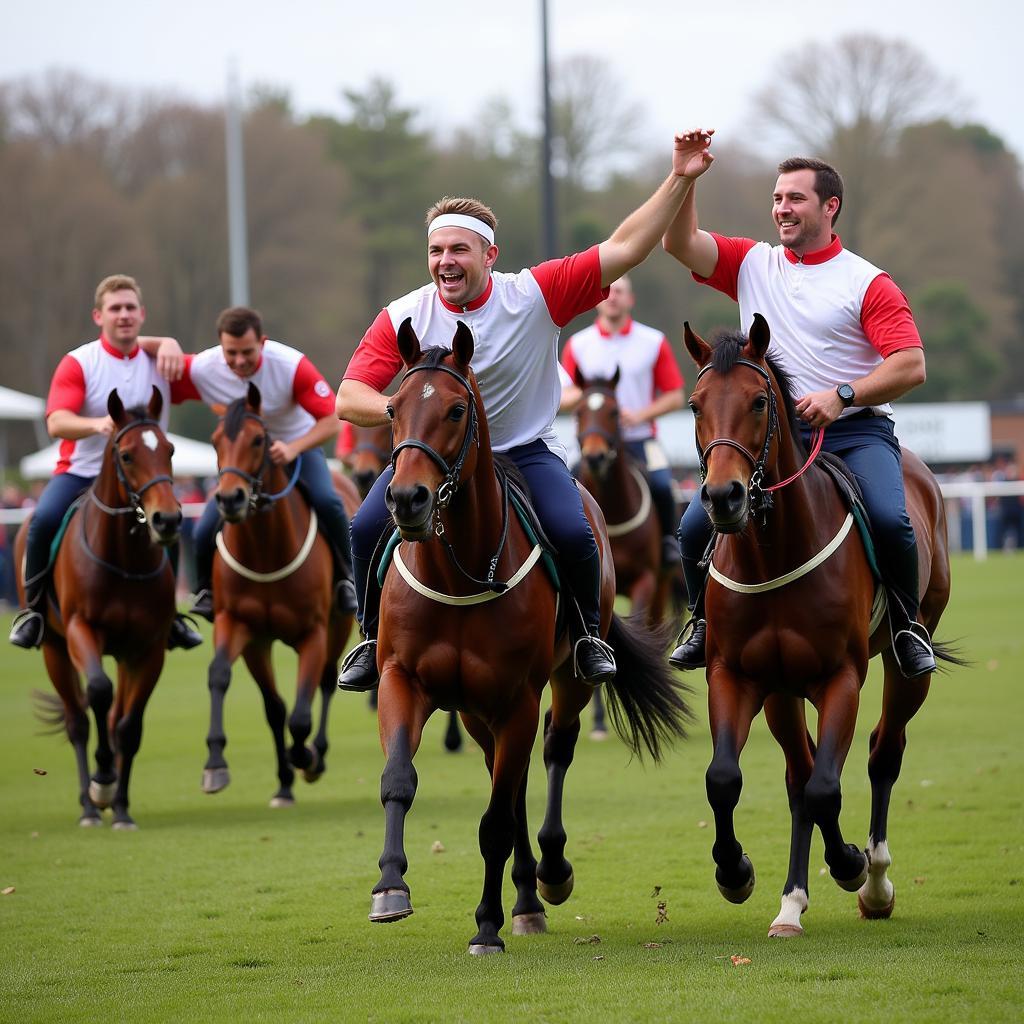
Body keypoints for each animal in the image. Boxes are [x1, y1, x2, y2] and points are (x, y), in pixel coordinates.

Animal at [18, 387, 182, 827]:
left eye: (170, 449)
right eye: (126, 455)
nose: (167, 520)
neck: (123, 559)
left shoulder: (147, 648)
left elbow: (128, 726)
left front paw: (120, 803)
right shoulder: (81, 631)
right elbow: (97, 691)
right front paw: (102, 780)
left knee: (112, 717)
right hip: (54, 648)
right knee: (78, 719)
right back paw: (90, 806)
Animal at [201, 380, 358, 802]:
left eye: (258, 440)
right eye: (216, 441)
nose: (230, 498)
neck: (266, 551)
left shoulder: (313, 632)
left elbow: (301, 716)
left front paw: (305, 757)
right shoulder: (242, 627)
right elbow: (225, 678)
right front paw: (216, 763)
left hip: (340, 624)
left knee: (326, 682)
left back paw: (315, 754)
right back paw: (285, 782)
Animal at [364, 319, 692, 950]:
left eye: (456, 410)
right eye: (391, 408)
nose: (407, 498)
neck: (460, 571)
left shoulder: (518, 695)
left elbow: (494, 821)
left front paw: (486, 926)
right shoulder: (403, 678)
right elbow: (397, 778)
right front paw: (391, 887)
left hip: (564, 680)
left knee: (553, 751)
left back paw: (549, 875)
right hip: (476, 711)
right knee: (508, 780)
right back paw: (524, 899)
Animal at [684, 317, 962, 937]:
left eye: (760, 401)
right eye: (694, 405)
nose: (722, 497)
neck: (775, 552)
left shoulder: (842, 678)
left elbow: (827, 788)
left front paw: (850, 863)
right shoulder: (737, 676)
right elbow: (724, 778)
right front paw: (735, 871)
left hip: (908, 664)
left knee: (883, 752)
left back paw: (875, 882)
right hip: (781, 692)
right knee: (798, 773)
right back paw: (791, 903)